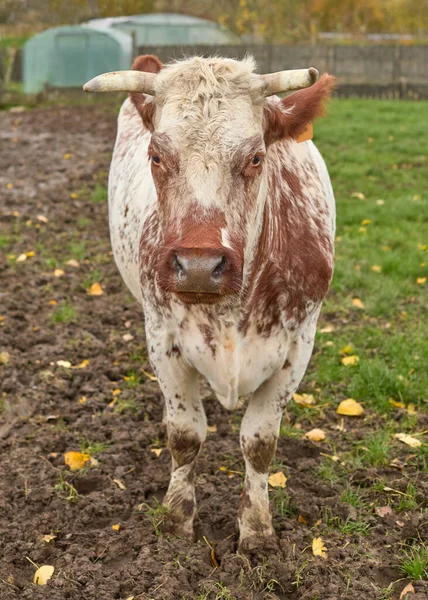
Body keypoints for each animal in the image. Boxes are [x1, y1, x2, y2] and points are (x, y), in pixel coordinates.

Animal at [83, 54, 336, 548]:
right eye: (157, 156)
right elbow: (185, 436)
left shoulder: (299, 345)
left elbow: (259, 442)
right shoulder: (163, 339)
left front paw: (256, 531)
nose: (199, 266)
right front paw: (176, 521)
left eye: (256, 157)